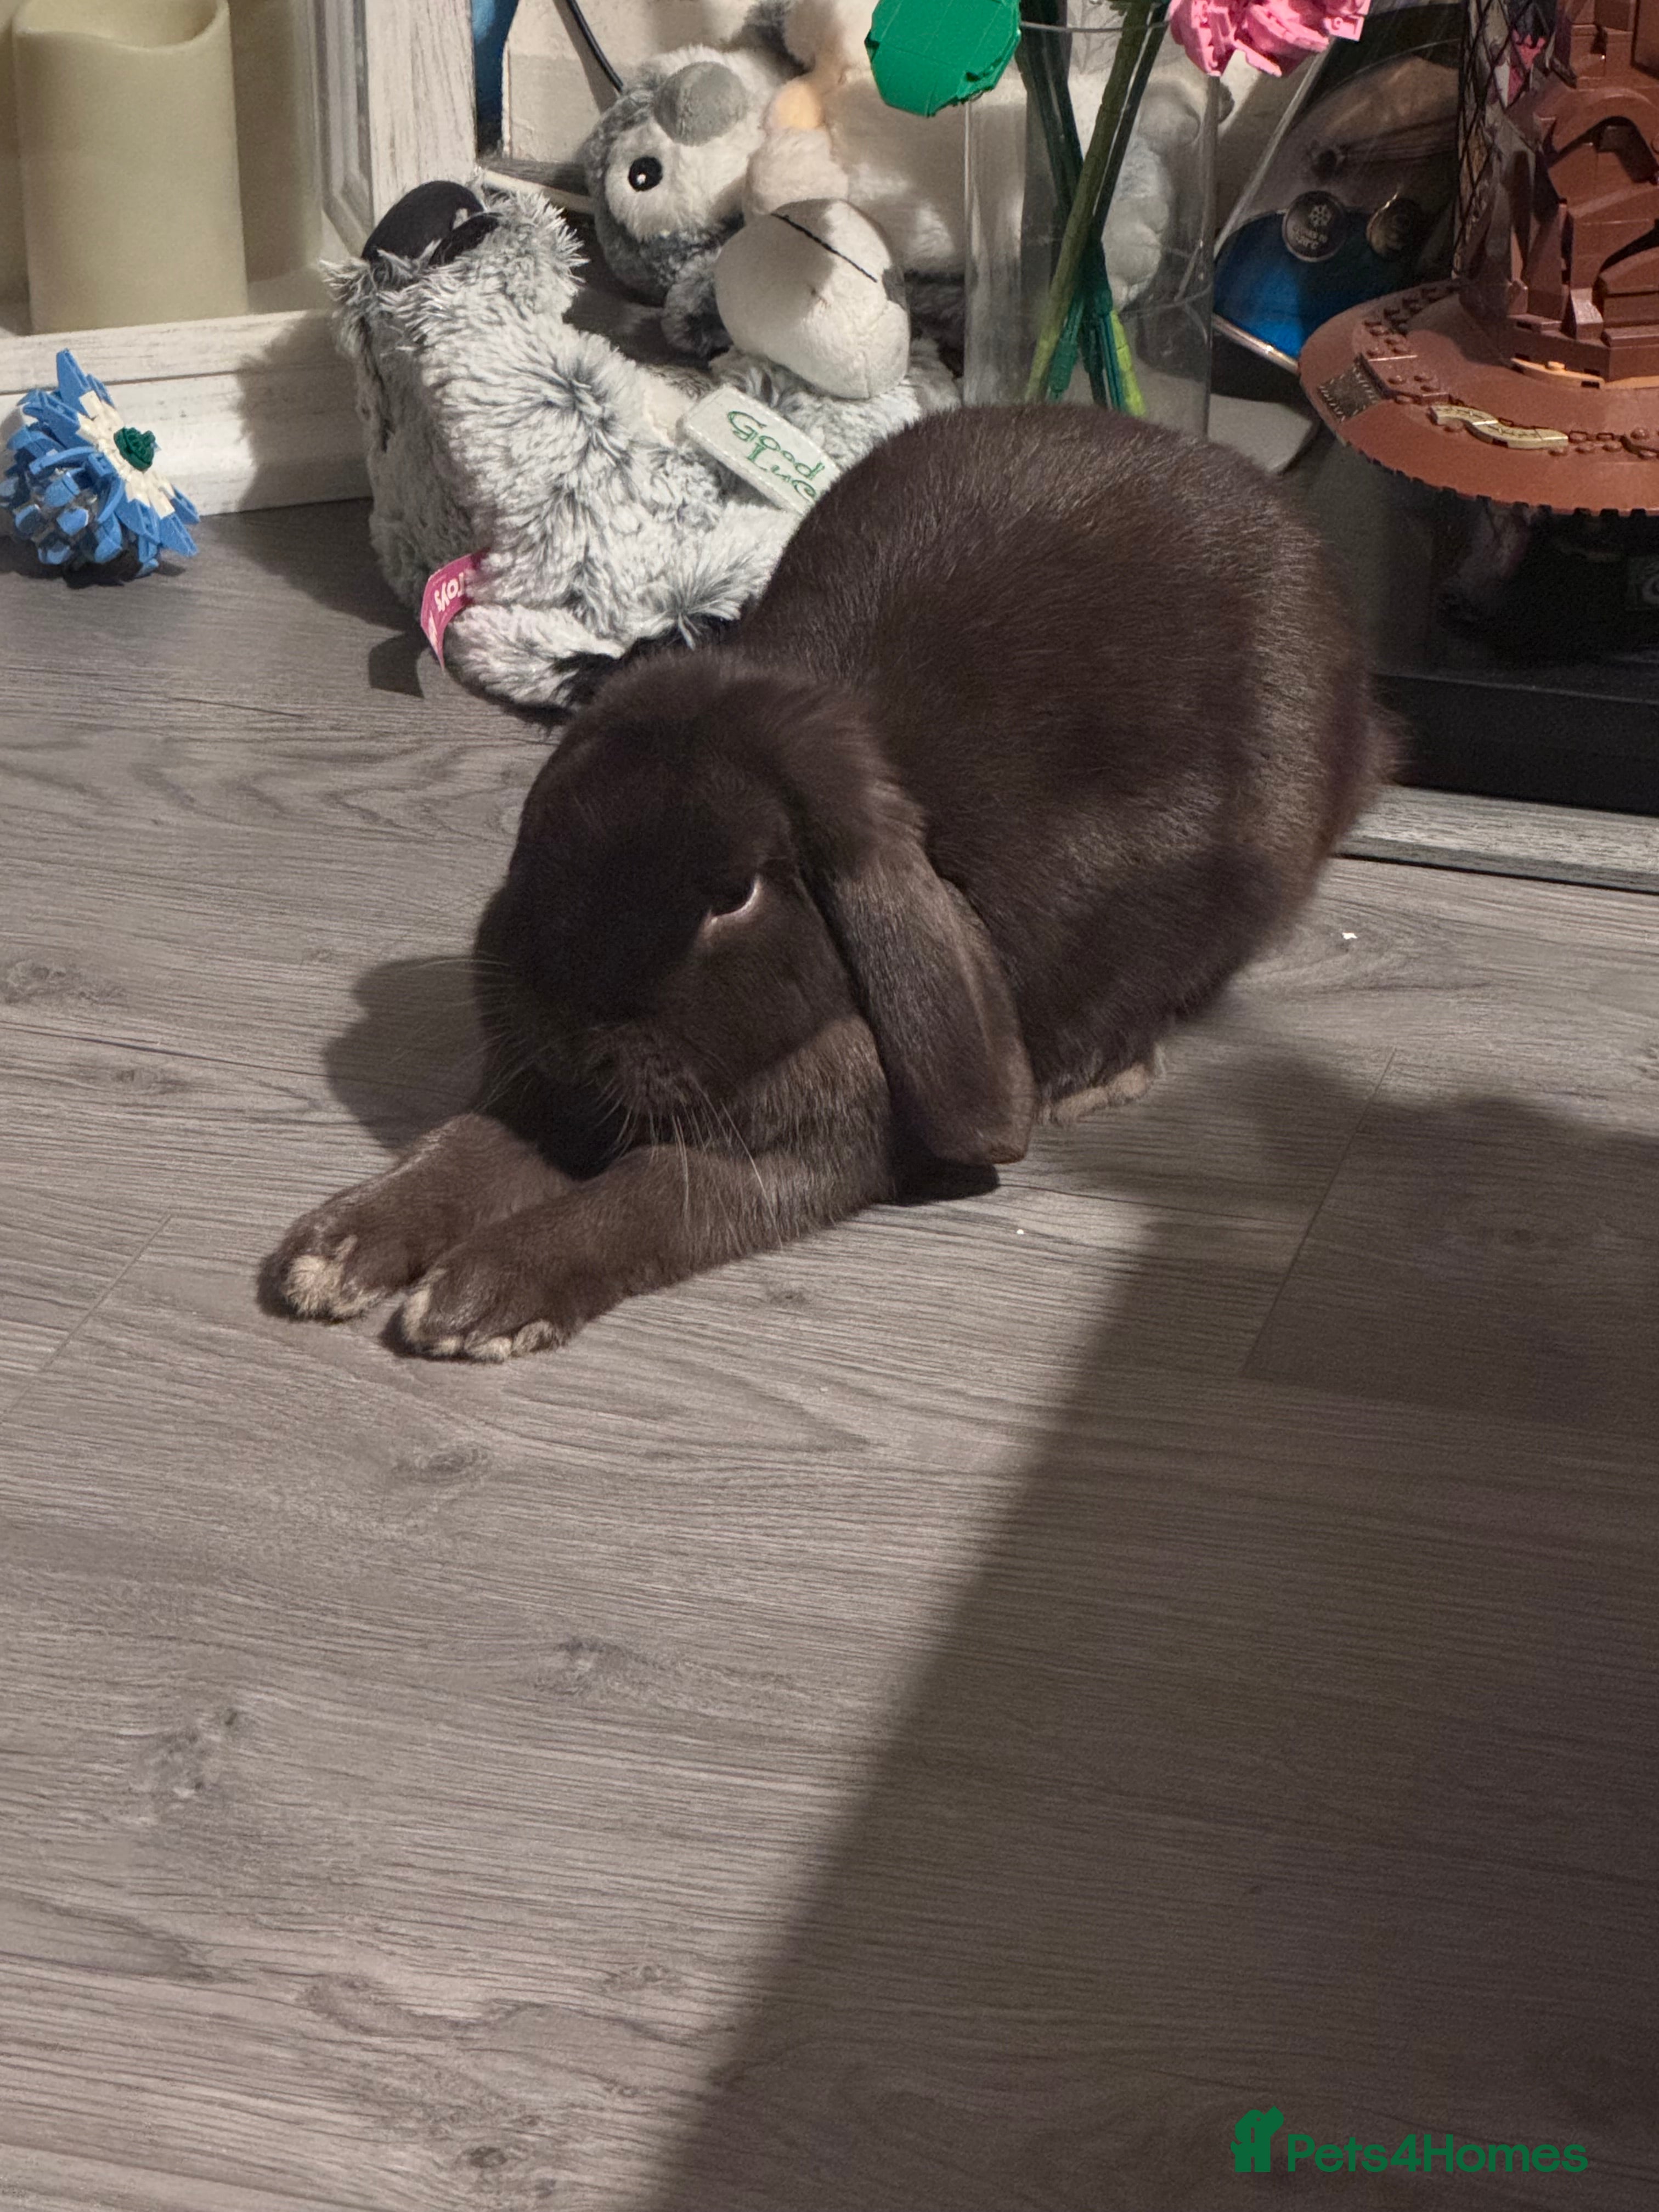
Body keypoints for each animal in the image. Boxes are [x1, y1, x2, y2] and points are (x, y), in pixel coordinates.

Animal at [269, 404, 1394, 1360]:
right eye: (543, 824)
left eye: (733, 896)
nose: (572, 1025)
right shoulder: (549, 1091)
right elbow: (469, 1143)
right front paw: (337, 1248)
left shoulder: (803, 1152)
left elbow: (647, 1192)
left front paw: (484, 1296)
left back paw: (1097, 1070)